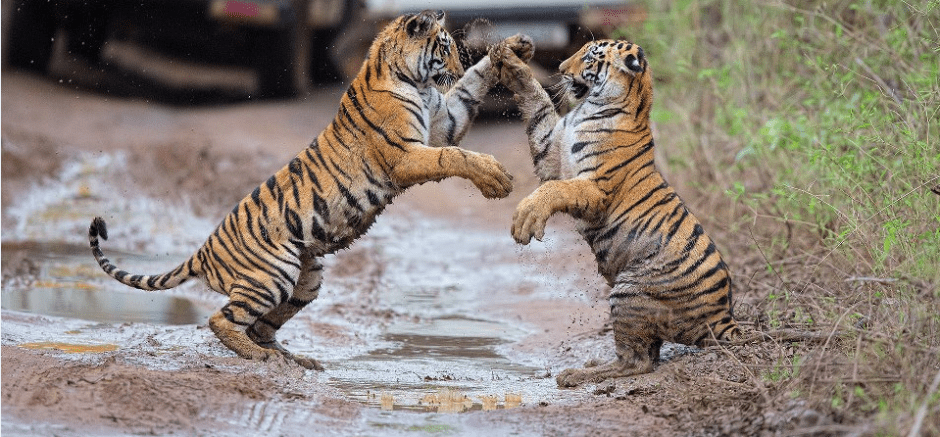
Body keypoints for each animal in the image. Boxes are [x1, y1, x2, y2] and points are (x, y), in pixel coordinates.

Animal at [88, 11, 528, 368]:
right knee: (220, 320)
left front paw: (510, 48)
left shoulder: (444, 122)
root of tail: (203, 252)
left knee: (261, 327)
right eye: (446, 47)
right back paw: (261, 358)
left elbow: (469, 91)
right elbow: (455, 156)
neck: (415, 81)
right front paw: (496, 178)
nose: (458, 63)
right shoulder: (407, 154)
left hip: (306, 279)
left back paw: (295, 360)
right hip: (272, 274)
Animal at [492, 36, 740, 384]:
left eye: (588, 58)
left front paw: (526, 218)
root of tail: (722, 316)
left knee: (637, 362)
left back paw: (577, 374)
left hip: (628, 292)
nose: (560, 68)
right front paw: (513, 64)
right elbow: (538, 105)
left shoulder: (594, 188)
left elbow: (554, 190)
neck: (589, 107)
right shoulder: (551, 153)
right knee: (648, 353)